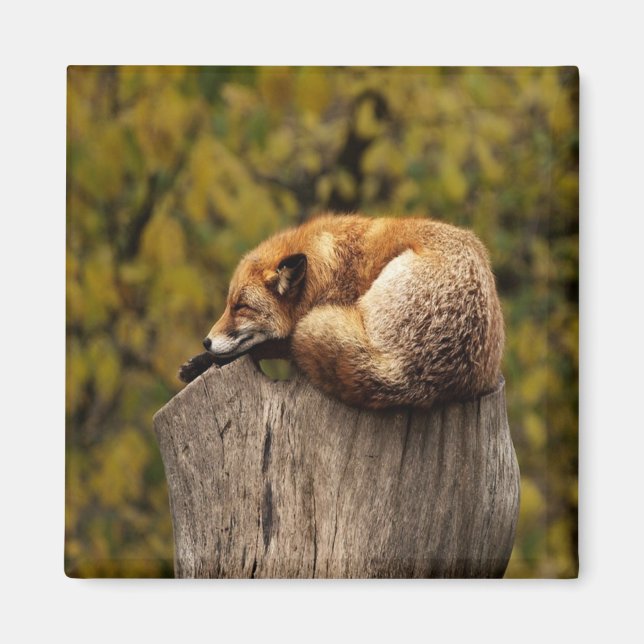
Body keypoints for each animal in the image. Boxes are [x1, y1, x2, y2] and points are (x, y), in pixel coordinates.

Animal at [179, 214, 504, 410]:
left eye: (241, 307)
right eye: (228, 305)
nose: (206, 341)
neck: (329, 269)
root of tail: (408, 376)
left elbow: (266, 347)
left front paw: (204, 361)